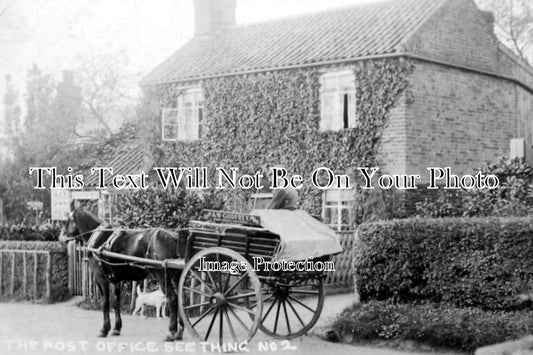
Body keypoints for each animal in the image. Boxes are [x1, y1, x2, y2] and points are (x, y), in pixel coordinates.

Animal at [58, 207, 186, 340]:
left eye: (67, 221)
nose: (60, 237)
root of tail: (173, 236)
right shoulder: (115, 280)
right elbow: (116, 302)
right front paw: (116, 328)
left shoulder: (100, 278)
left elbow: (105, 303)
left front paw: (104, 329)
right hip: (177, 277)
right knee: (180, 299)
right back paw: (179, 331)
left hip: (162, 276)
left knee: (173, 299)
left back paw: (171, 332)